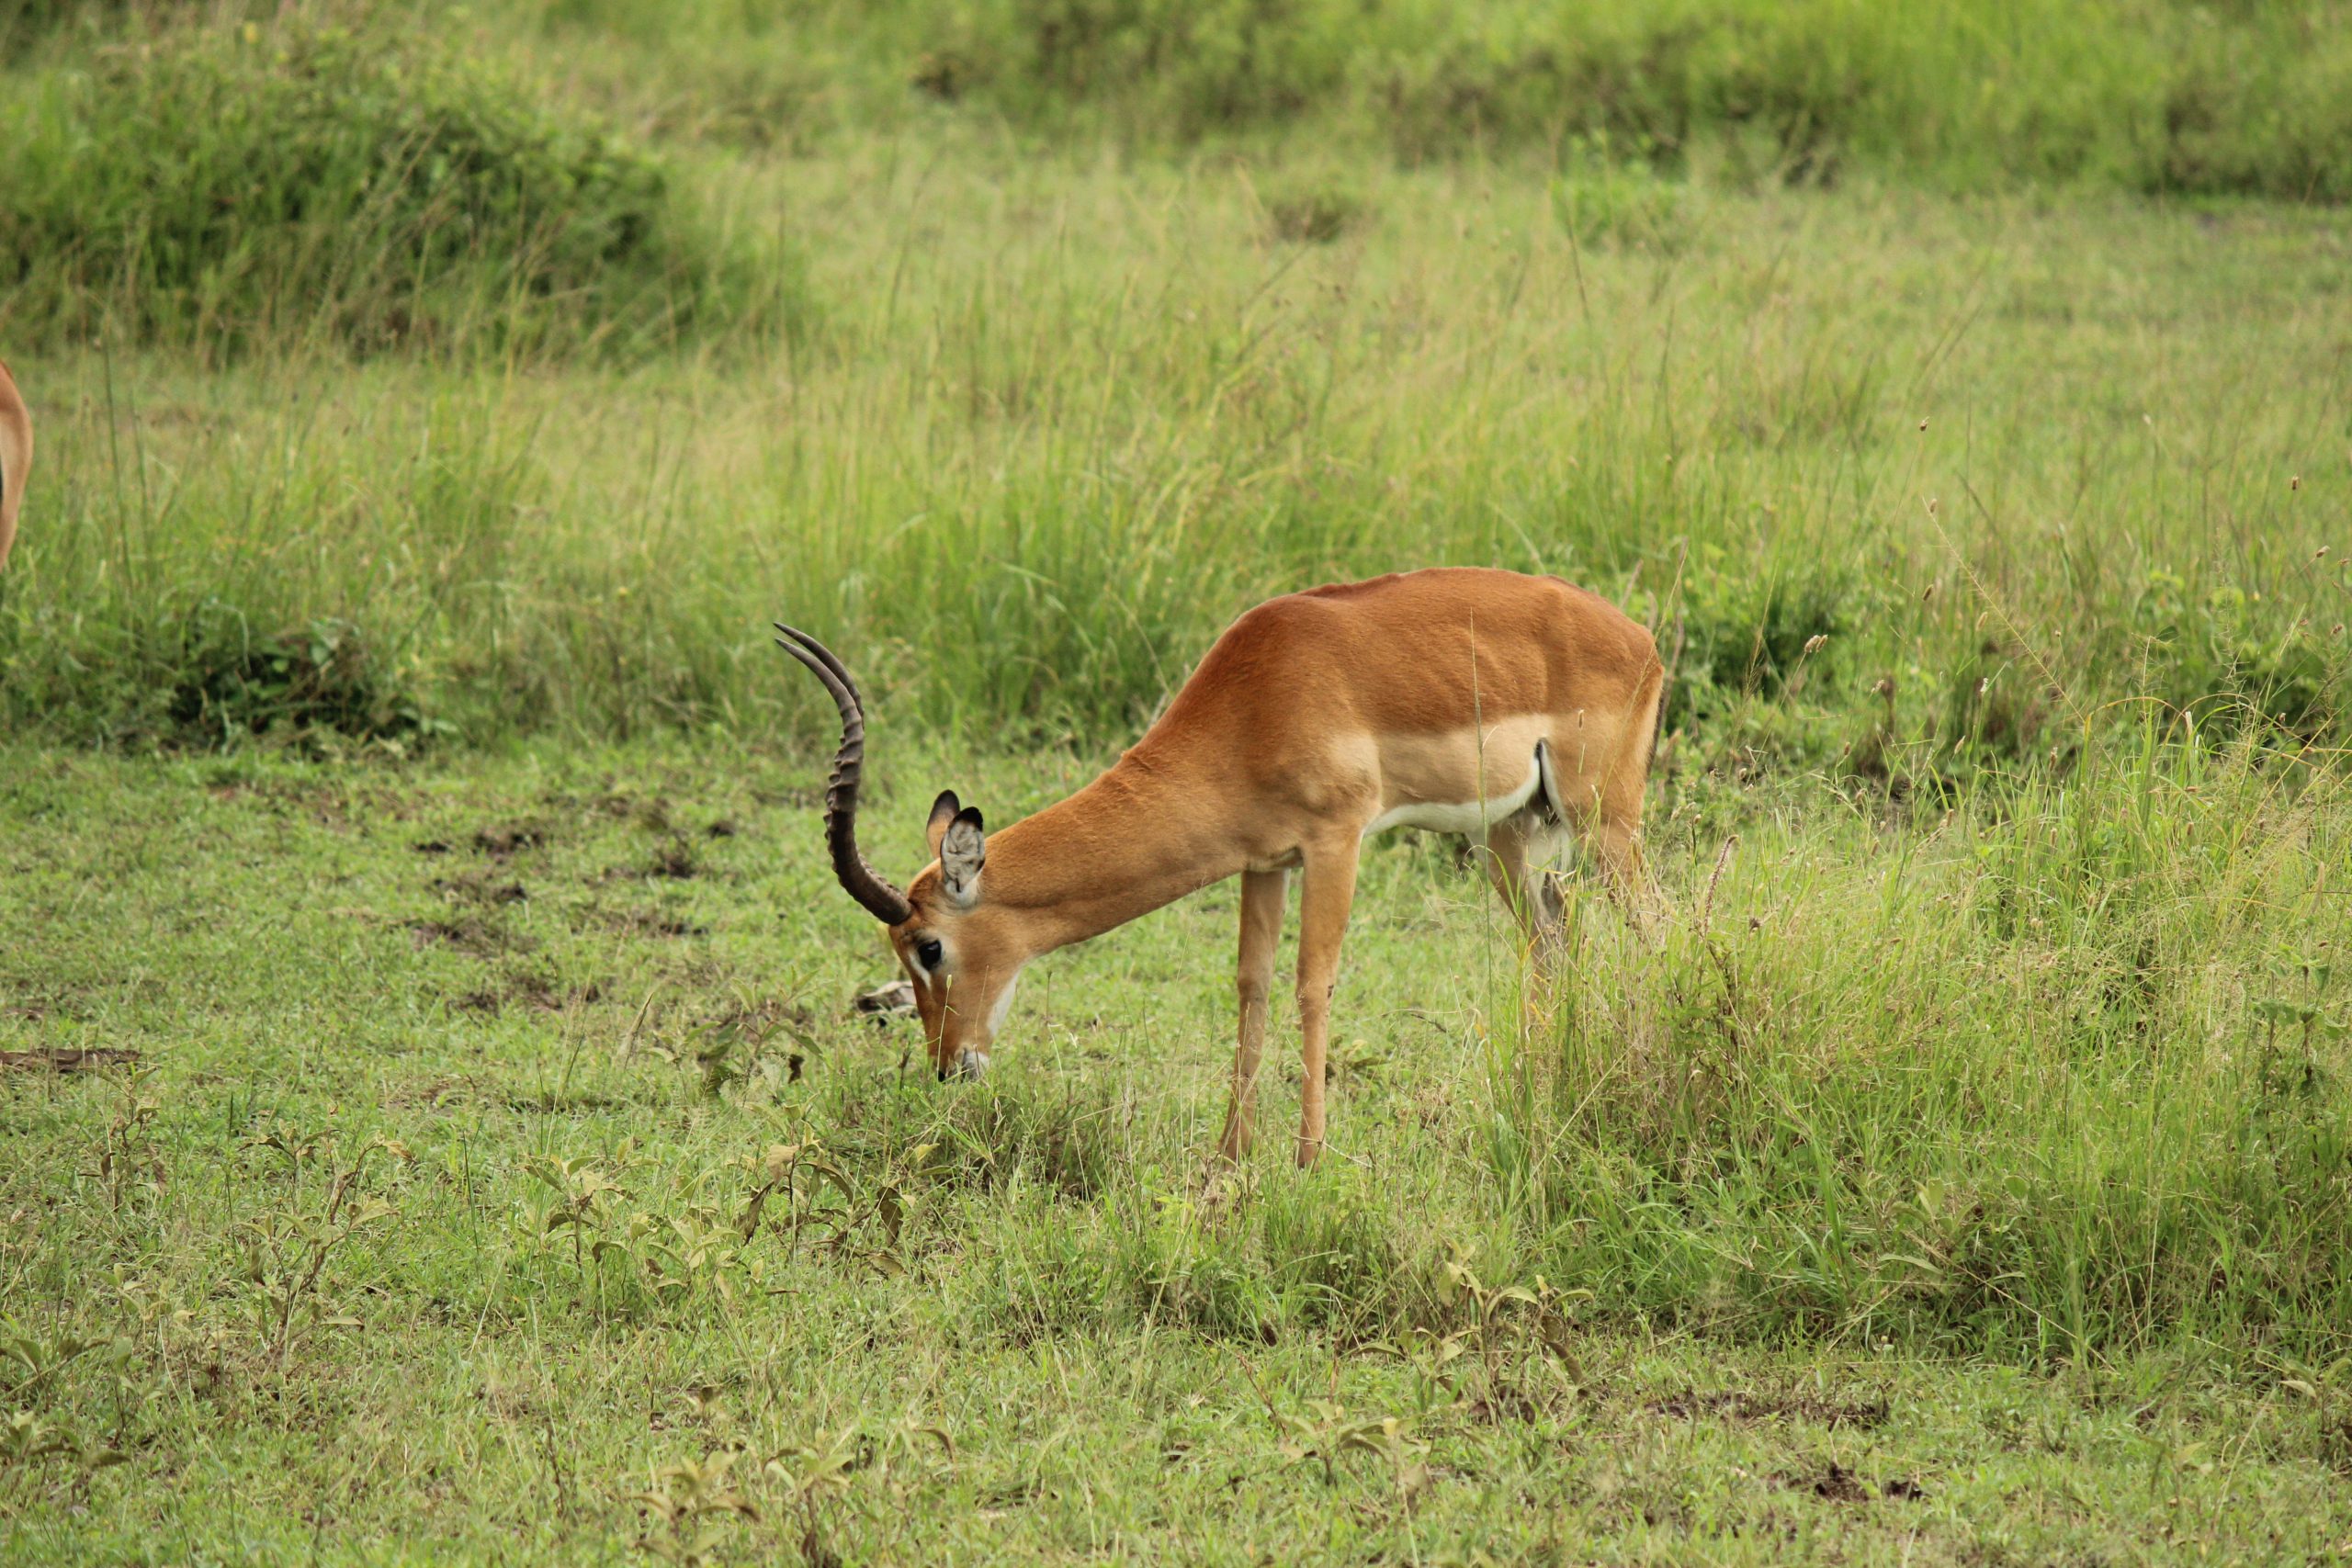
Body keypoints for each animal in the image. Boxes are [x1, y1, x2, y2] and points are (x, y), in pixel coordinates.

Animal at [777, 567, 1665, 1167]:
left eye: (929, 946)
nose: (945, 1066)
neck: (1252, 706)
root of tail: (1639, 638)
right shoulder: (1264, 861)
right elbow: (1251, 986)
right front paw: (1230, 1158)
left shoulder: (1336, 840)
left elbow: (1312, 985)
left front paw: (1308, 1159)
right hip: (1505, 833)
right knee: (1552, 940)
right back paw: (1537, 1094)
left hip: (1605, 820)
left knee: (1654, 928)